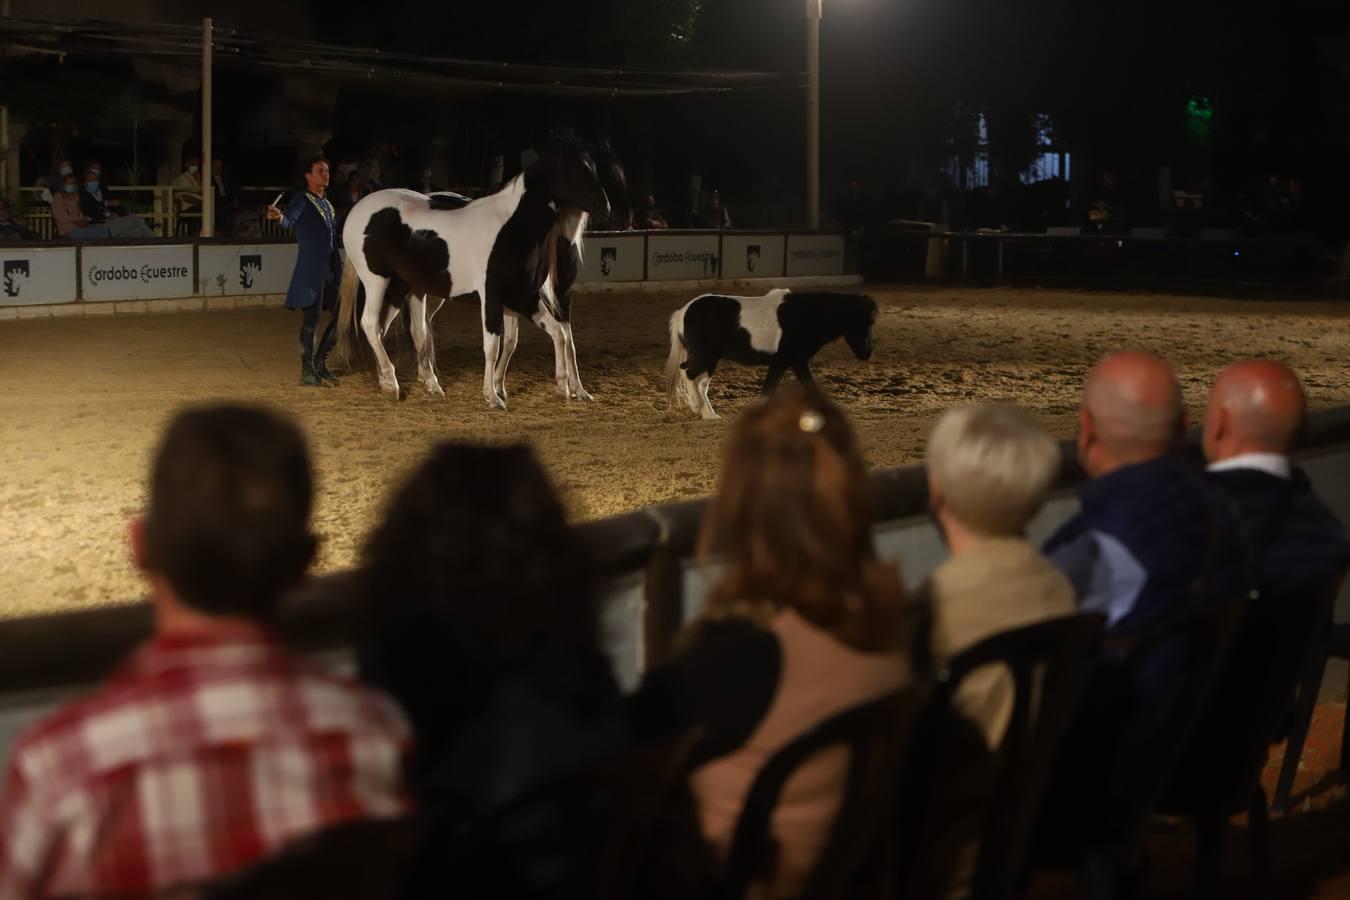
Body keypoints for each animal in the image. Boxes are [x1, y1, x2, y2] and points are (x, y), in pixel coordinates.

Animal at [337, 132, 612, 407]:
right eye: (575, 170)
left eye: (593, 167)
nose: (606, 208)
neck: (512, 228)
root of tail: (358, 210)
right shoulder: (492, 297)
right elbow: (492, 345)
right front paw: (492, 396)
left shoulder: (523, 297)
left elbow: (557, 334)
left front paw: (563, 387)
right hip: (376, 281)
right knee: (370, 324)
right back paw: (393, 385)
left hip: (403, 287)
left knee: (394, 330)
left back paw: (408, 384)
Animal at [661, 290, 874, 420]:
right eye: (862, 321)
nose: (866, 352)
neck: (805, 315)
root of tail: (683, 311)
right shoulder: (795, 361)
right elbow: (805, 385)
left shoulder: (781, 363)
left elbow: (769, 389)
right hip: (704, 356)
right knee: (688, 373)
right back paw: (697, 406)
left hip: (711, 359)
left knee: (700, 383)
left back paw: (710, 415)